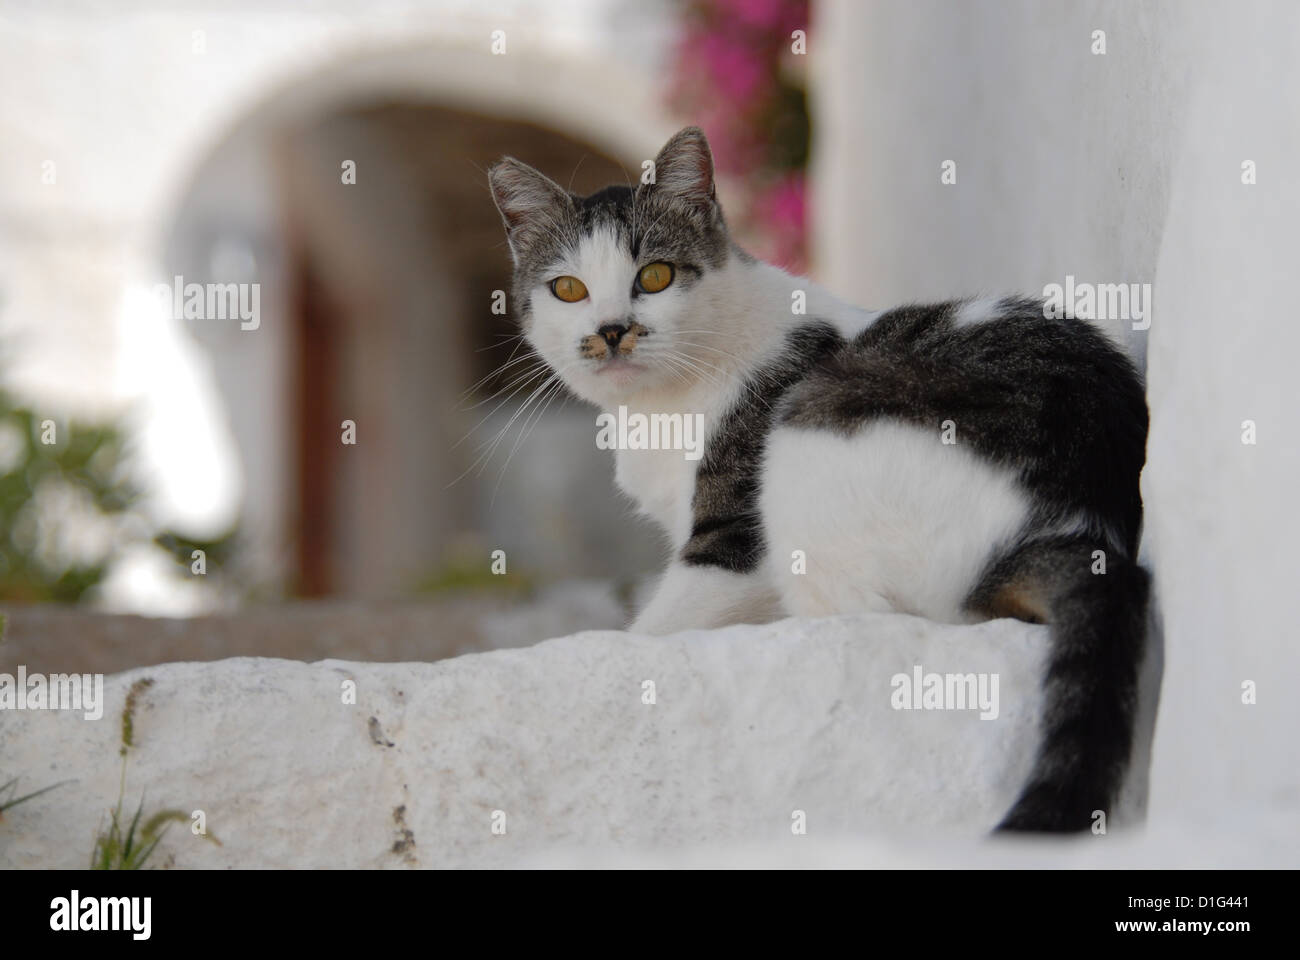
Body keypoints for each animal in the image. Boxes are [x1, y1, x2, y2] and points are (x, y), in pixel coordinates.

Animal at [488, 127, 1149, 832]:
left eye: (655, 277)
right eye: (569, 290)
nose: (612, 331)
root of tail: (1076, 517)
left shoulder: (733, 545)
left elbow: (657, 627)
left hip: (807, 448)